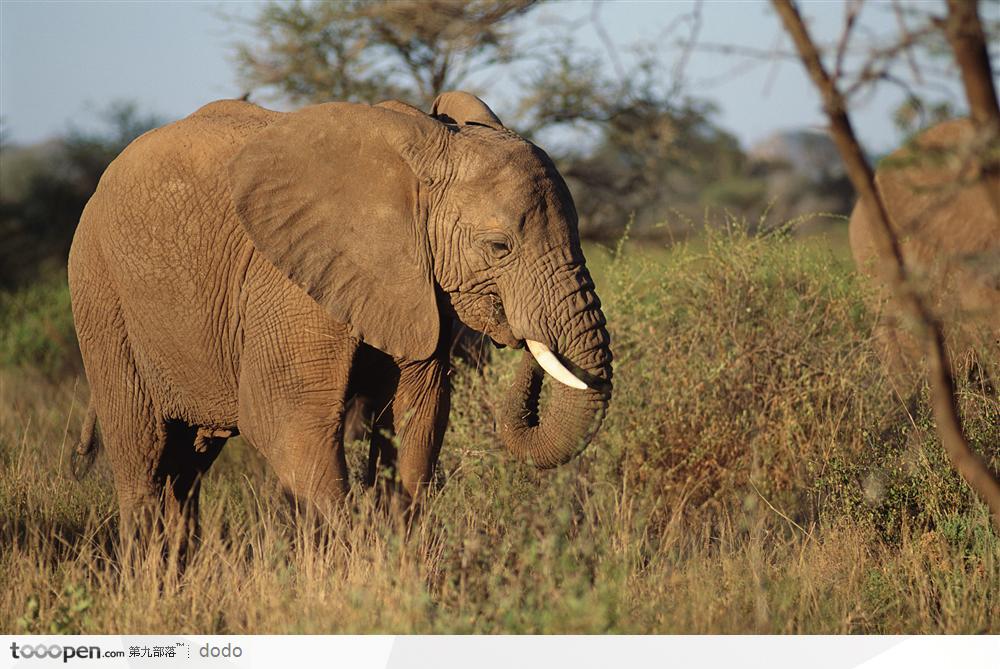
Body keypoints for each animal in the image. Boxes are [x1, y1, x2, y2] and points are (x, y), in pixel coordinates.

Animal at [68, 91, 608, 552]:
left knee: (187, 469)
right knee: (143, 458)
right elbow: (287, 423)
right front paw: (359, 560)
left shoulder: (420, 288)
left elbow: (419, 418)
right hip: (100, 296)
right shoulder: (290, 284)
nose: (525, 339)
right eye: (499, 247)